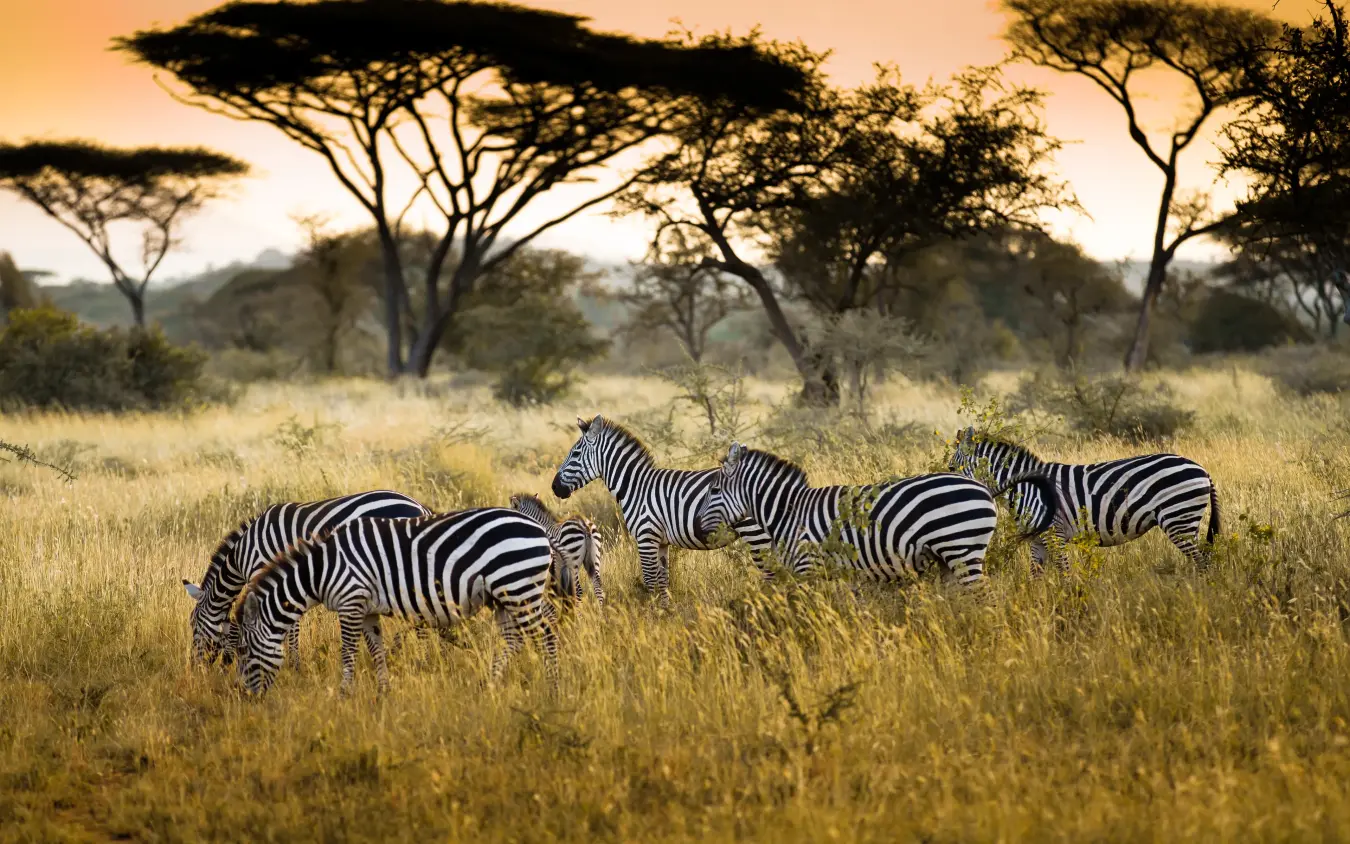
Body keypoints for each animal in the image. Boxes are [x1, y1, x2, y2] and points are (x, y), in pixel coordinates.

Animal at [183, 490, 431, 667]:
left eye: (193, 624)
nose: (196, 667)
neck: (242, 555)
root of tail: (420, 506)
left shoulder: (265, 572)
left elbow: (284, 625)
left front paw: (292, 664)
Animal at [231, 508, 561, 696]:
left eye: (243, 650)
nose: (245, 697)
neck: (321, 569)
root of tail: (539, 528)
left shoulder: (351, 601)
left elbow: (348, 653)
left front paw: (344, 694)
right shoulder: (366, 610)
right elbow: (377, 650)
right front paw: (383, 693)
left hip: (517, 586)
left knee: (546, 636)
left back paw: (553, 690)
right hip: (503, 596)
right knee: (515, 639)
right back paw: (487, 685)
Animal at [551, 415, 773, 606]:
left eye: (575, 454)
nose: (554, 487)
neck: (636, 487)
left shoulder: (646, 537)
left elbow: (650, 581)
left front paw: (652, 618)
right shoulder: (662, 542)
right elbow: (663, 581)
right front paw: (665, 614)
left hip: (757, 535)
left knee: (772, 575)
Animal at [694, 442, 1059, 586]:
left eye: (713, 491)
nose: (697, 528)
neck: (789, 513)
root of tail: (983, 489)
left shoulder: (809, 568)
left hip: (961, 548)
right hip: (950, 557)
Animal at [948, 427, 1220, 570]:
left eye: (951, 467)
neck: (1026, 488)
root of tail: (1202, 469)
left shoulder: (1055, 535)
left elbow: (1065, 575)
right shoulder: (1037, 540)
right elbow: (1035, 577)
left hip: (1178, 519)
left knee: (1203, 564)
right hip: (1185, 520)